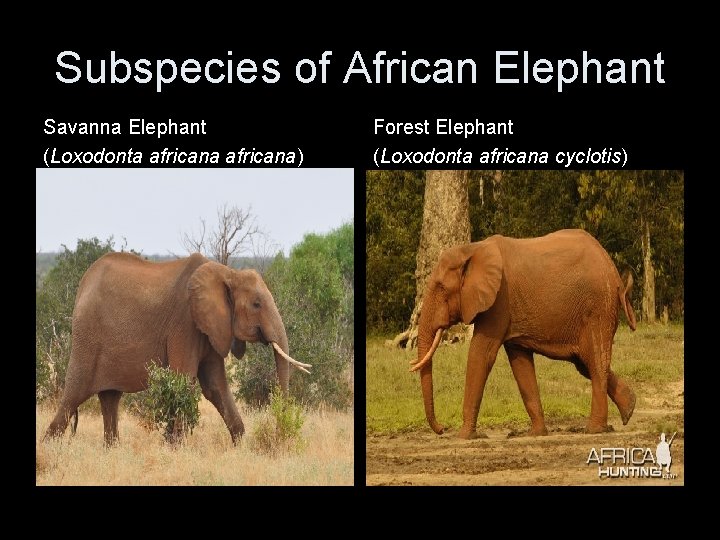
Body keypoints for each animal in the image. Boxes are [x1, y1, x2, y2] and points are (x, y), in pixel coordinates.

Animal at [44, 252, 311, 445]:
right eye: (256, 304)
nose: (279, 428)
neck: (226, 272)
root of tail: (82, 285)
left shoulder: (210, 328)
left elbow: (215, 387)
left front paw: (241, 446)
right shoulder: (185, 322)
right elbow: (184, 380)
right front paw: (175, 447)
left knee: (110, 398)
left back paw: (112, 450)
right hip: (87, 338)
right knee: (74, 395)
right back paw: (49, 447)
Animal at [410, 229, 637, 438]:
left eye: (441, 287)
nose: (442, 429)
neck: (472, 249)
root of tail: (613, 271)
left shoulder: (499, 300)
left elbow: (481, 354)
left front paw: (464, 436)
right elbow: (520, 362)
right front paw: (536, 434)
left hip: (597, 309)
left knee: (595, 362)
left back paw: (594, 430)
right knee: (585, 362)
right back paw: (629, 408)